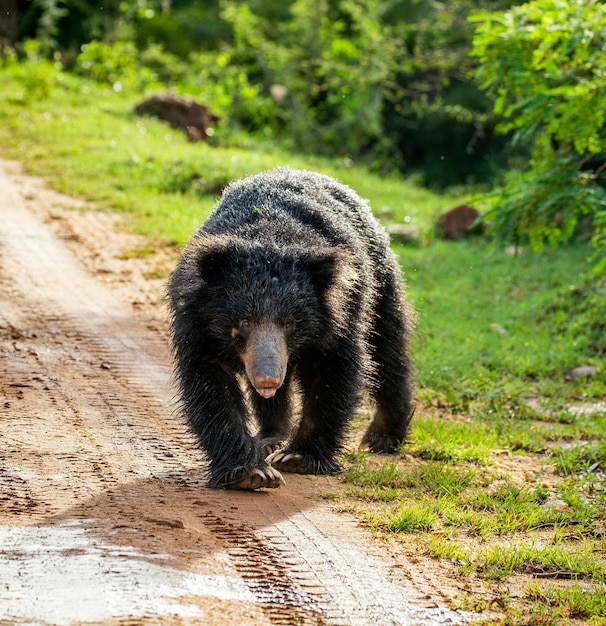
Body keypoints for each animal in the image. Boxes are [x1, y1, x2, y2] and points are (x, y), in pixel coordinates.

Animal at [171, 168, 418, 490]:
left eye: (291, 323)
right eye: (244, 321)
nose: (267, 378)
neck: (270, 235)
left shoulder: (341, 314)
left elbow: (332, 372)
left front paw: (298, 457)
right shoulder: (198, 322)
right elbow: (210, 383)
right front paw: (251, 472)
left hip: (382, 282)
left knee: (388, 351)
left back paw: (382, 437)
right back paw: (271, 439)